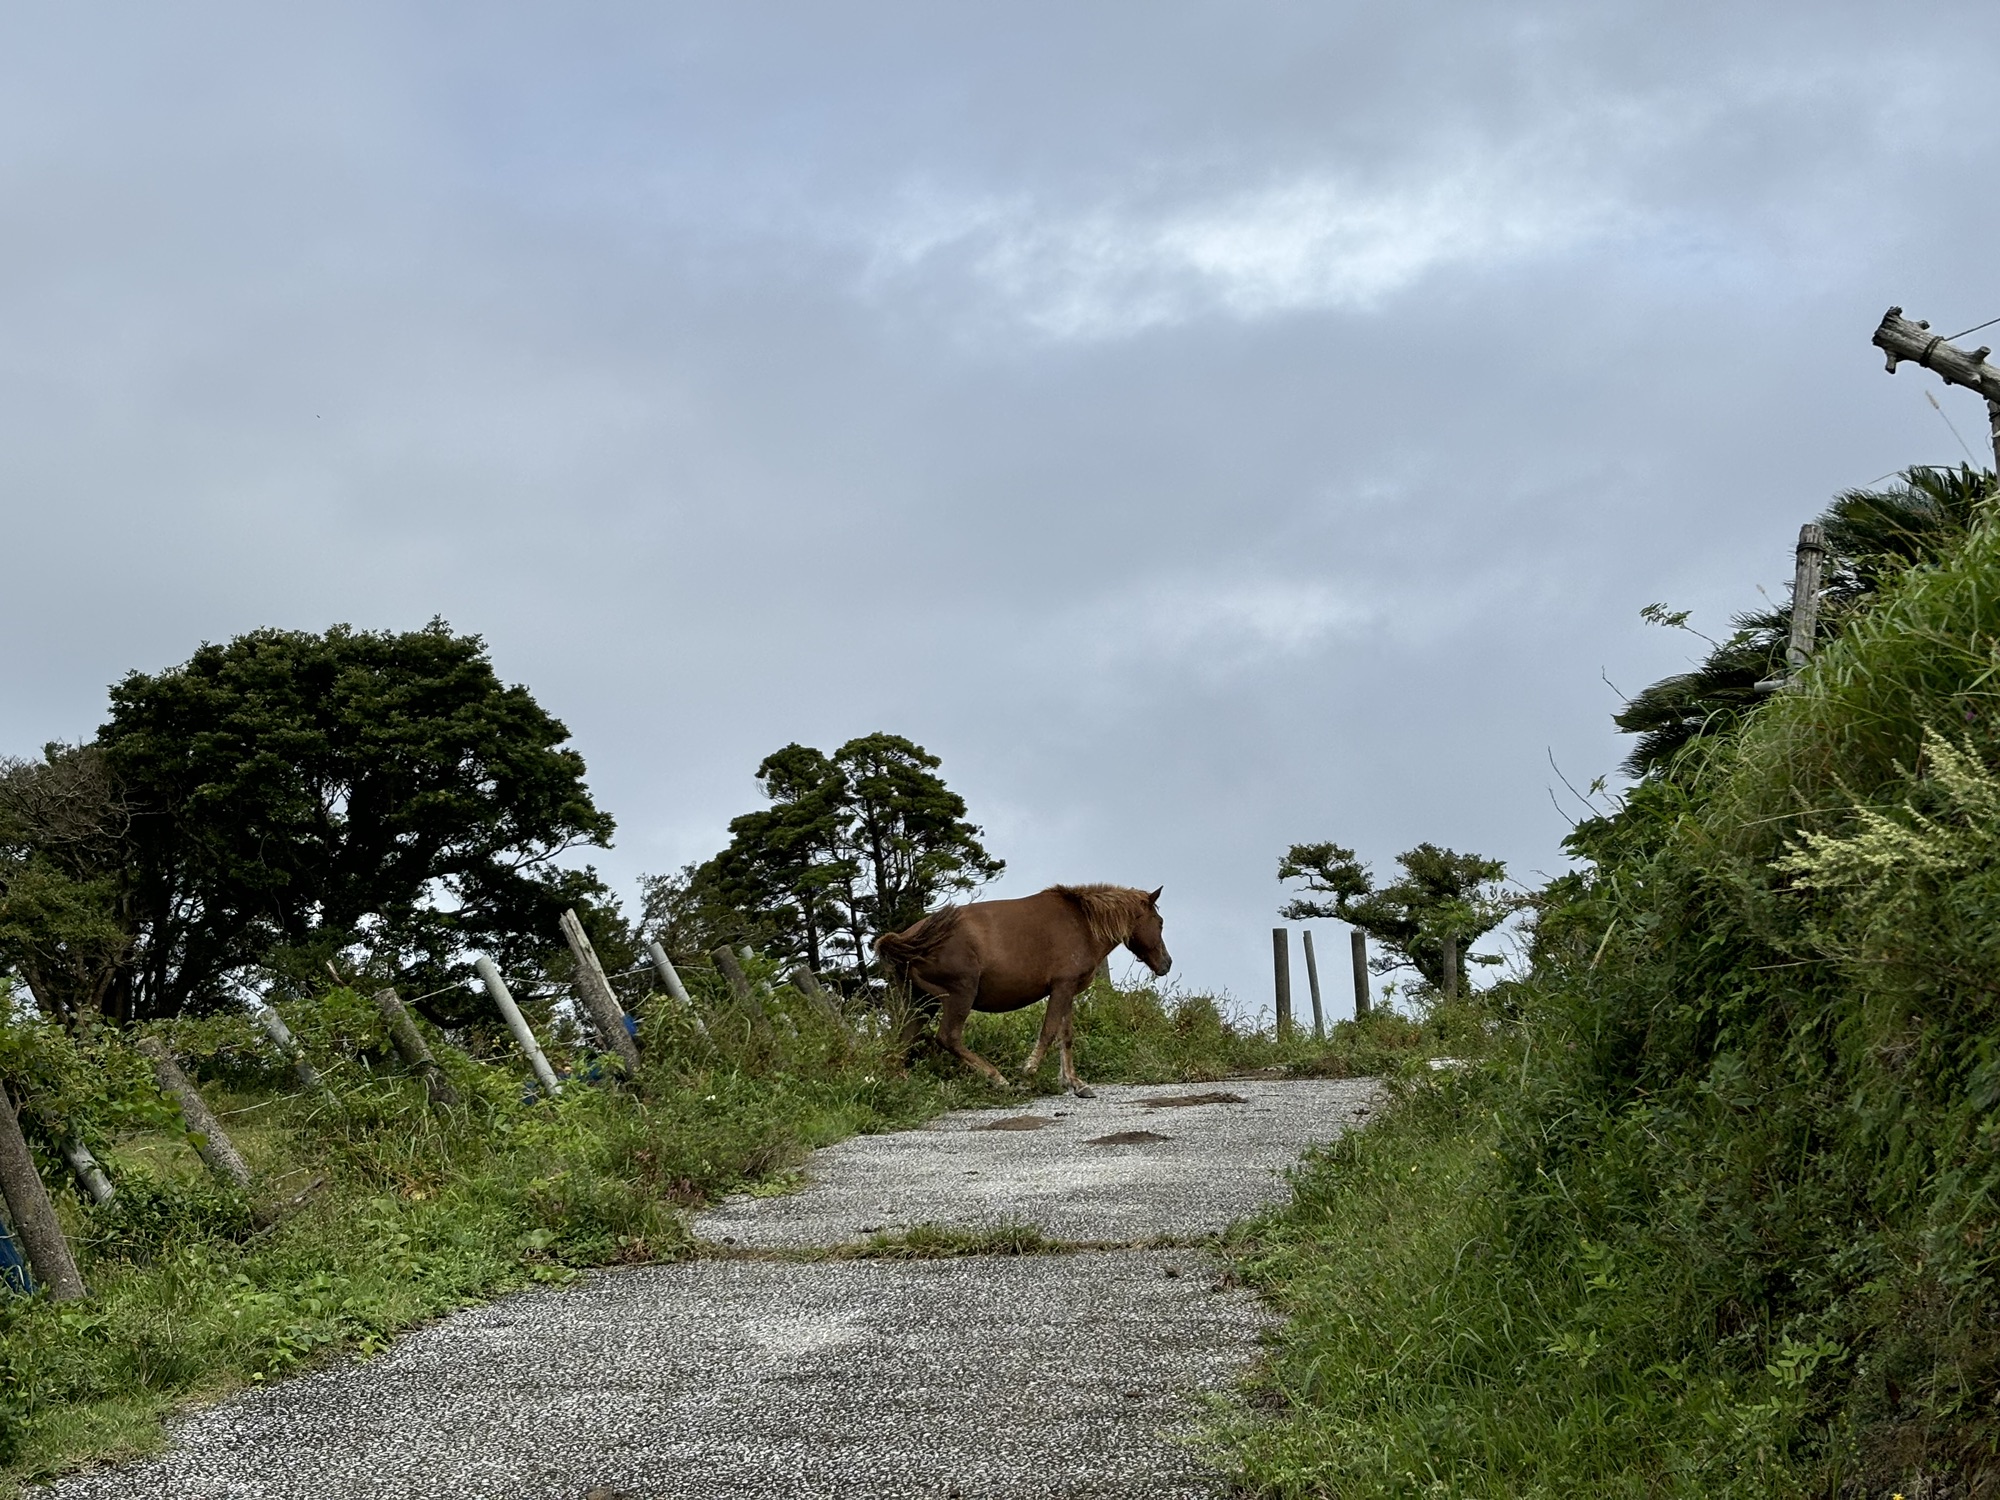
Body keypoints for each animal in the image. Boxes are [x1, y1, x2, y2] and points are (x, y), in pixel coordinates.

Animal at [876, 888, 1168, 1096]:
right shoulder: (1062, 987)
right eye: (1160, 922)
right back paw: (998, 1079)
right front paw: (1028, 1072)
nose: (1167, 963)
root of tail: (907, 938)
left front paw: (1074, 1082)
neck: (1082, 923)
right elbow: (1049, 1032)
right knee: (949, 1038)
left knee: (901, 1042)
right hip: (959, 994)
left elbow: (1066, 1036)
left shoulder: (1067, 990)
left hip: (921, 1002)